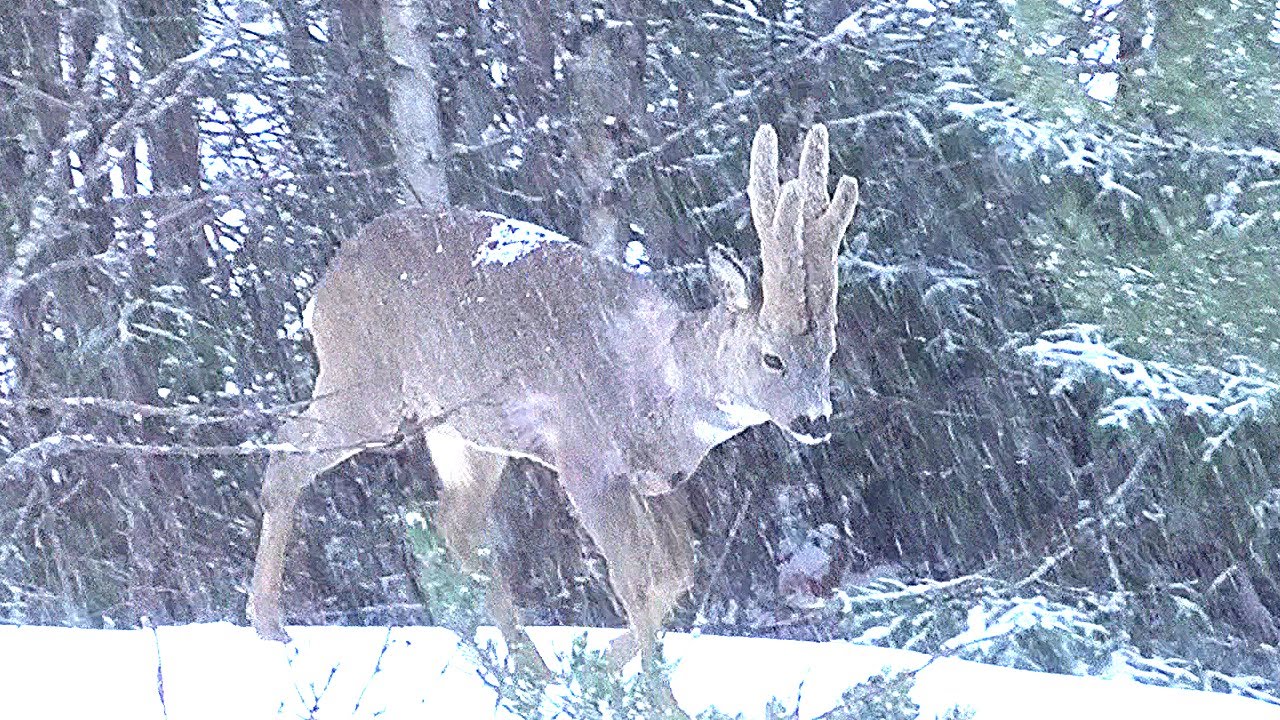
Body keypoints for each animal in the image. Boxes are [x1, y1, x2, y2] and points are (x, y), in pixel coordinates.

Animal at [248, 123, 860, 674]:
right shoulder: (585, 459)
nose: (815, 419)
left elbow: (676, 573)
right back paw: (271, 627)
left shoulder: (658, 479)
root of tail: (322, 290)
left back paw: (525, 665)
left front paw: (597, 668)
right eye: (772, 357)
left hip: (463, 433)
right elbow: (636, 580)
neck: (660, 386)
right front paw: (636, 684)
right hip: (365, 383)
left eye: (829, 350)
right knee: (286, 454)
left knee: (456, 527)